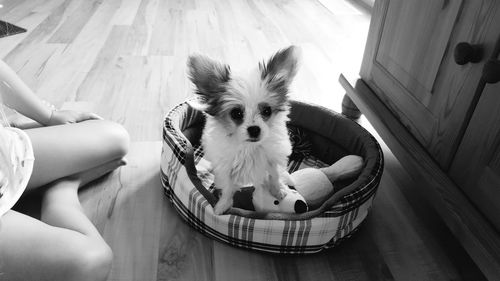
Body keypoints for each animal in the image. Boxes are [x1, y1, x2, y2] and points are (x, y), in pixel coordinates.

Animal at [188, 46, 302, 213]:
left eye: (267, 111)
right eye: (236, 113)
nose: (254, 129)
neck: (249, 147)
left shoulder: (272, 158)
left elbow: (275, 175)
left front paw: (278, 190)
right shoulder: (226, 168)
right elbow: (228, 188)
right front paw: (222, 206)